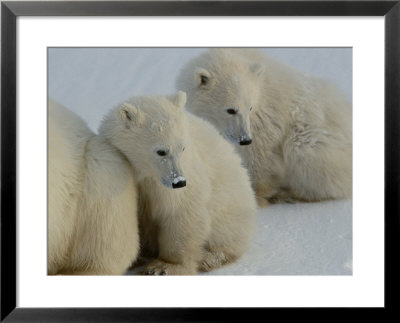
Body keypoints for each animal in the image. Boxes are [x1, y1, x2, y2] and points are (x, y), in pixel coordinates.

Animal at [99, 91, 256, 276]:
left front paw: (163, 267)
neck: (146, 173)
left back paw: (208, 257)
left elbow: (180, 213)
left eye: (182, 148)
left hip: (230, 207)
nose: (179, 182)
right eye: (161, 151)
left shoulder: (180, 180)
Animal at [177, 49, 352, 206]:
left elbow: (261, 156)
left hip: (316, 140)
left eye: (250, 107)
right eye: (230, 110)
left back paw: (289, 195)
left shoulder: (265, 120)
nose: (245, 139)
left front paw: (255, 196)